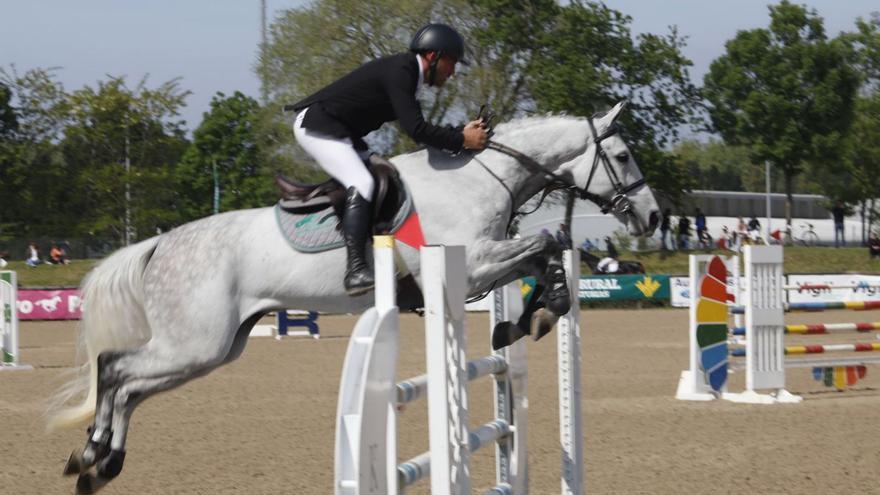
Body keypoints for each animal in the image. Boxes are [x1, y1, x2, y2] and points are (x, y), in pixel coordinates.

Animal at [51, 101, 656, 495]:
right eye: (624, 155)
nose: (653, 217)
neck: (482, 178)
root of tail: (159, 243)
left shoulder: (487, 263)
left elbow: (544, 252)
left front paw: (529, 317)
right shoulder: (470, 267)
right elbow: (547, 240)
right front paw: (536, 311)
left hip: (212, 348)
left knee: (129, 386)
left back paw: (98, 464)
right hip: (195, 343)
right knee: (115, 368)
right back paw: (93, 454)